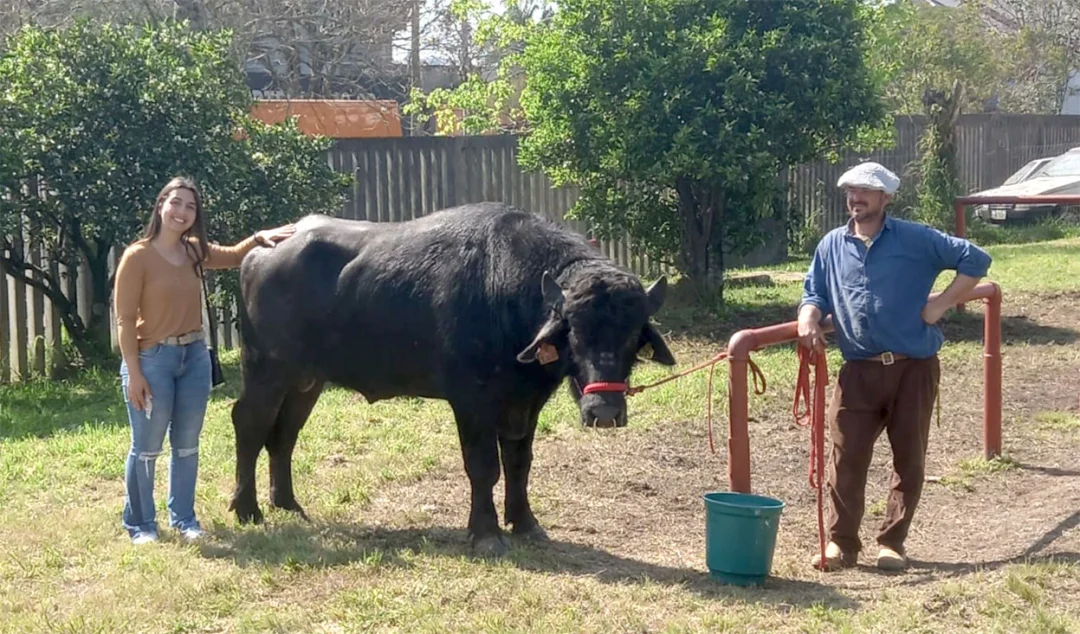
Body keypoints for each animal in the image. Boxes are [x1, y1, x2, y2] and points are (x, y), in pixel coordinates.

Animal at [228, 202, 675, 555]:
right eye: (575, 332)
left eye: (632, 336)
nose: (604, 412)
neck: (507, 292)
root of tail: (258, 253)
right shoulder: (472, 402)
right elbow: (483, 466)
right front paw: (486, 533)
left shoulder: (524, 403)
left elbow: (519, 462)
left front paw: (526, 523)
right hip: (266, 368)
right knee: (249, 423)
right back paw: (247, 508)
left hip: (306, 380)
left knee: (284, 434)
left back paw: (287, 504)